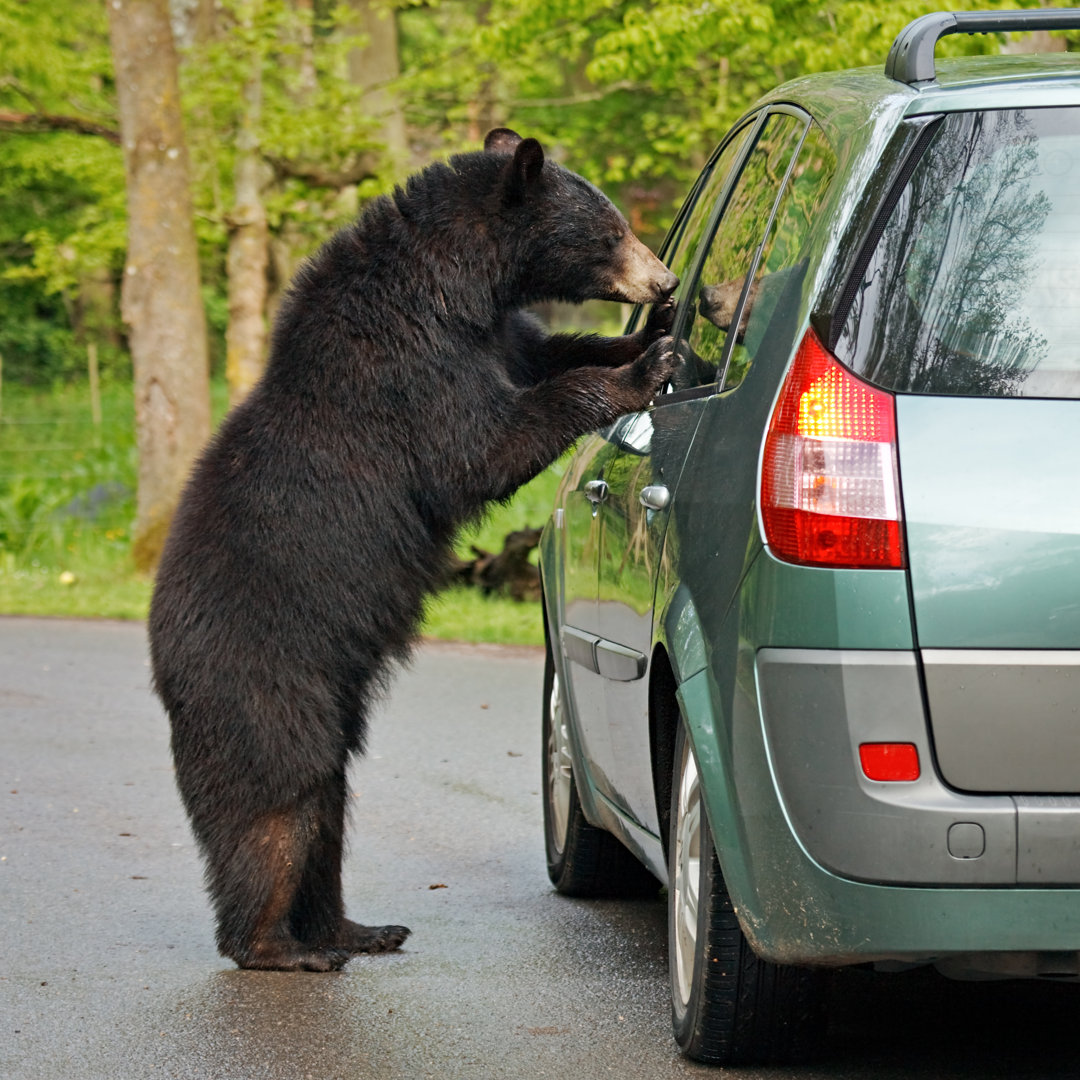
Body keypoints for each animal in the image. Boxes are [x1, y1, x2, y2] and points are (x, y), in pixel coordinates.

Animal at [149, 126, 678, 972]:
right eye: (609, 231)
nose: (663, 279)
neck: (455, 290)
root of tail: (162, 662)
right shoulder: (408, 370)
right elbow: (482, 446)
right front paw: (642, 367)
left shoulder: (498, 335)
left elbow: (550, 351)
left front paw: (649, 337)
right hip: (264, 681)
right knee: (280, 801)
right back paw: (279, 945)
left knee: (327, 812)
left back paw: (356, 928)